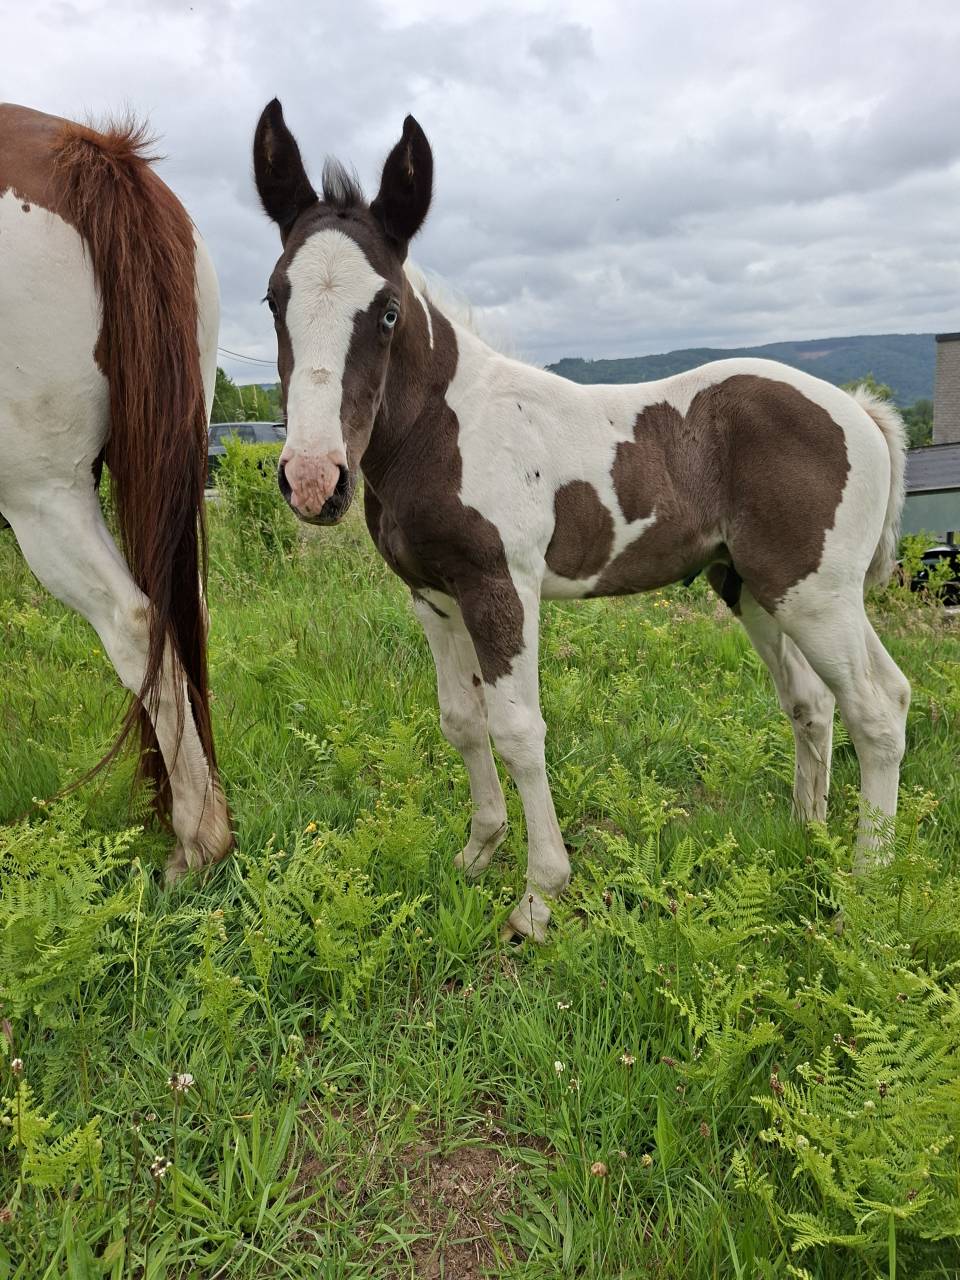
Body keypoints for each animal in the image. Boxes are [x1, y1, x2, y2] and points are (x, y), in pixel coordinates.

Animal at [252, 99, 909, 941]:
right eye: (275, 298)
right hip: (754, 587)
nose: (312, 480)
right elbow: (460, 721)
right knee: (814, 703)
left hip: (816, 592)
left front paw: (538, 895)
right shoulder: (433, 597)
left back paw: (869, 880)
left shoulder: (503, 589)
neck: (446, 429)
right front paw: (478, 853)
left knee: (877, 706)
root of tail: (857, 410)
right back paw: (809, 835)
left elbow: (518, 731)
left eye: (389, 310)